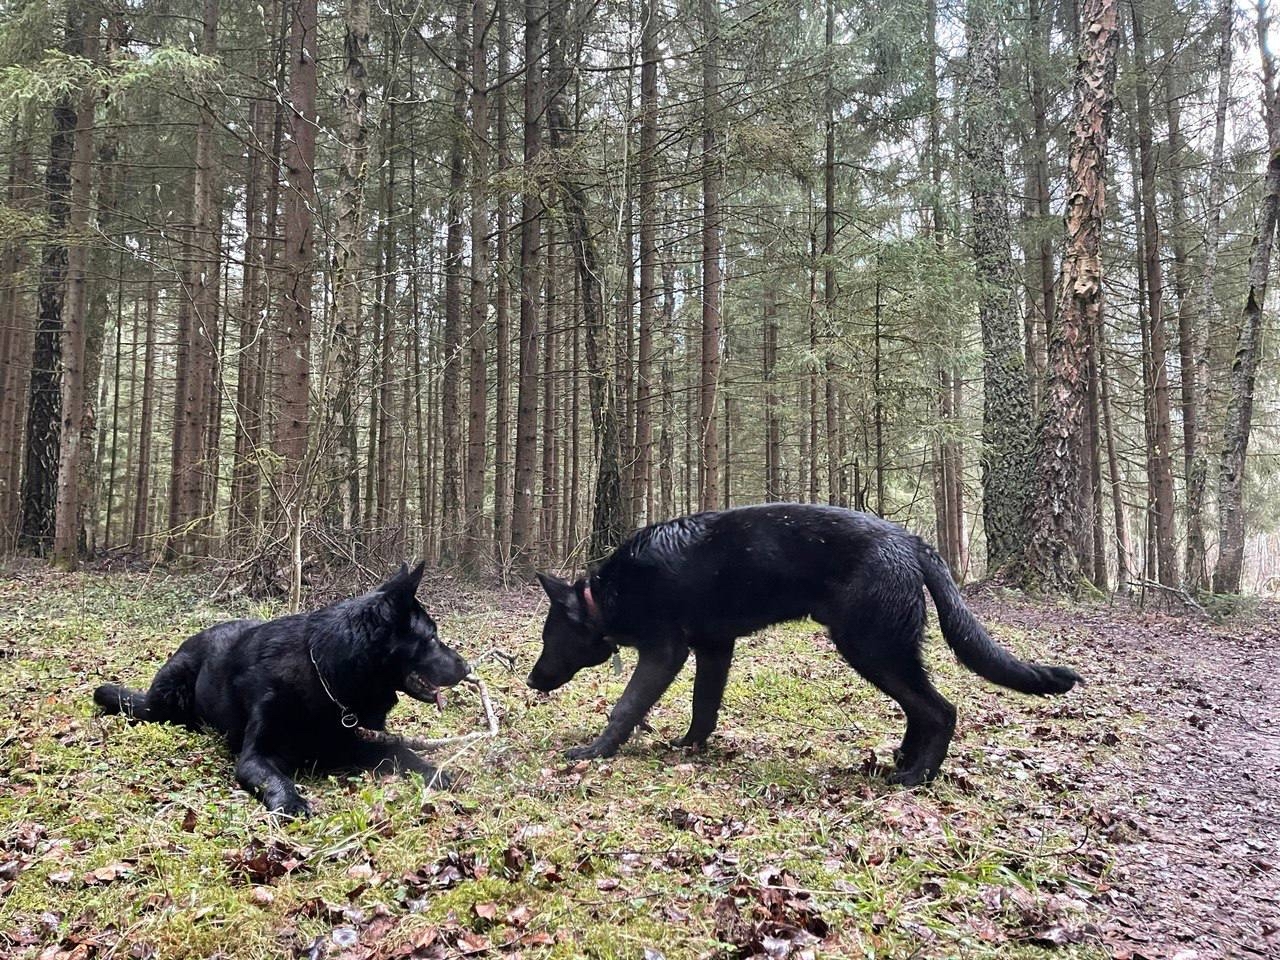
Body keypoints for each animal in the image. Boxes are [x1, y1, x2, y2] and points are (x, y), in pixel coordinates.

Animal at [92, 563, 471, 819]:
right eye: (432, 637)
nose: (468, 668)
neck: (329, 671)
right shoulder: (256, 757)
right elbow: (278, 779)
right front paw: (292, 802)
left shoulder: (359, 742)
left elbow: (402, 753)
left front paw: (436, 772)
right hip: (164, 704)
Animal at [529, 506, 1080, 783]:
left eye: (549, 637)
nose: (531, 680)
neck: (607, 594)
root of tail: (913, 543)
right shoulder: (714, 649)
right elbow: (704, 707)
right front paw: (690, 746)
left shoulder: (665, 653)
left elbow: (625, 708)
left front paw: (595, 752)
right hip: (881, 651)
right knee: (920, 708)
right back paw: (904, 759)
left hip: (870, 646)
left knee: (941, 710)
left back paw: (917, 776)